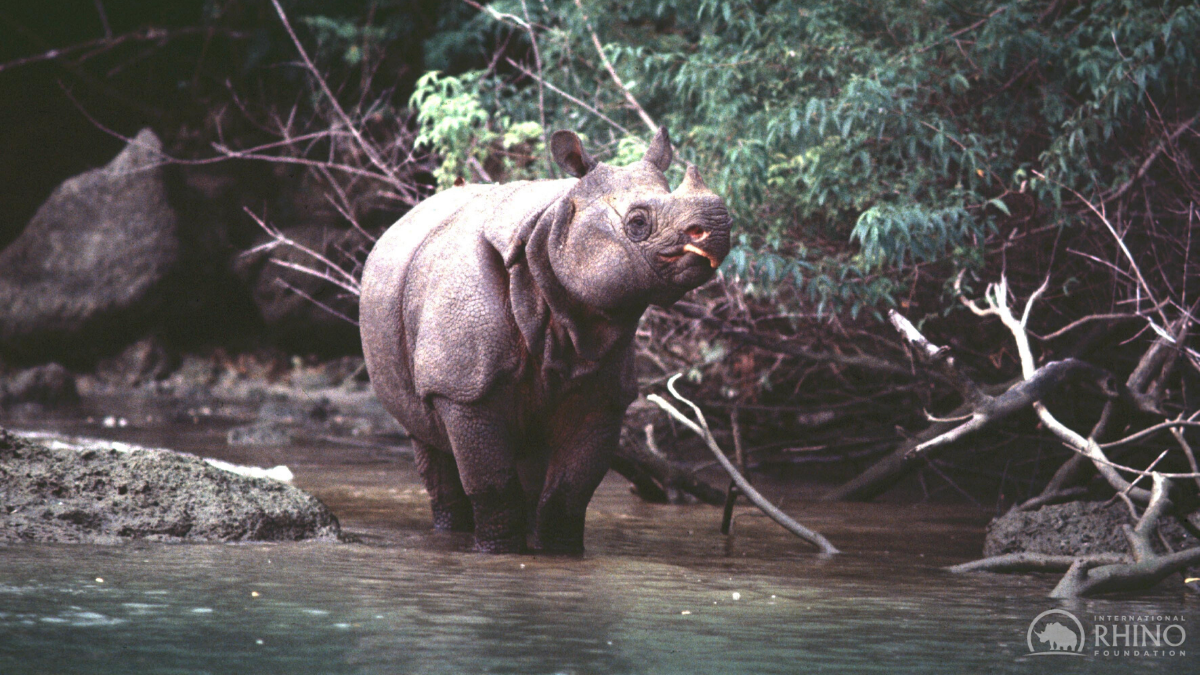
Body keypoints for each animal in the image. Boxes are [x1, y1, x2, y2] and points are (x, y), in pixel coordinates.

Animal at [357, 127, 729, 552]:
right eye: (637, 222)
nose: (719, 227)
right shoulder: (463, 387)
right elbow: (493, 486)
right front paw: (497, 552)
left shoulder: (603, 393)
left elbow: (569, 492)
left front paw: (559, 554)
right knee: (426, 439)